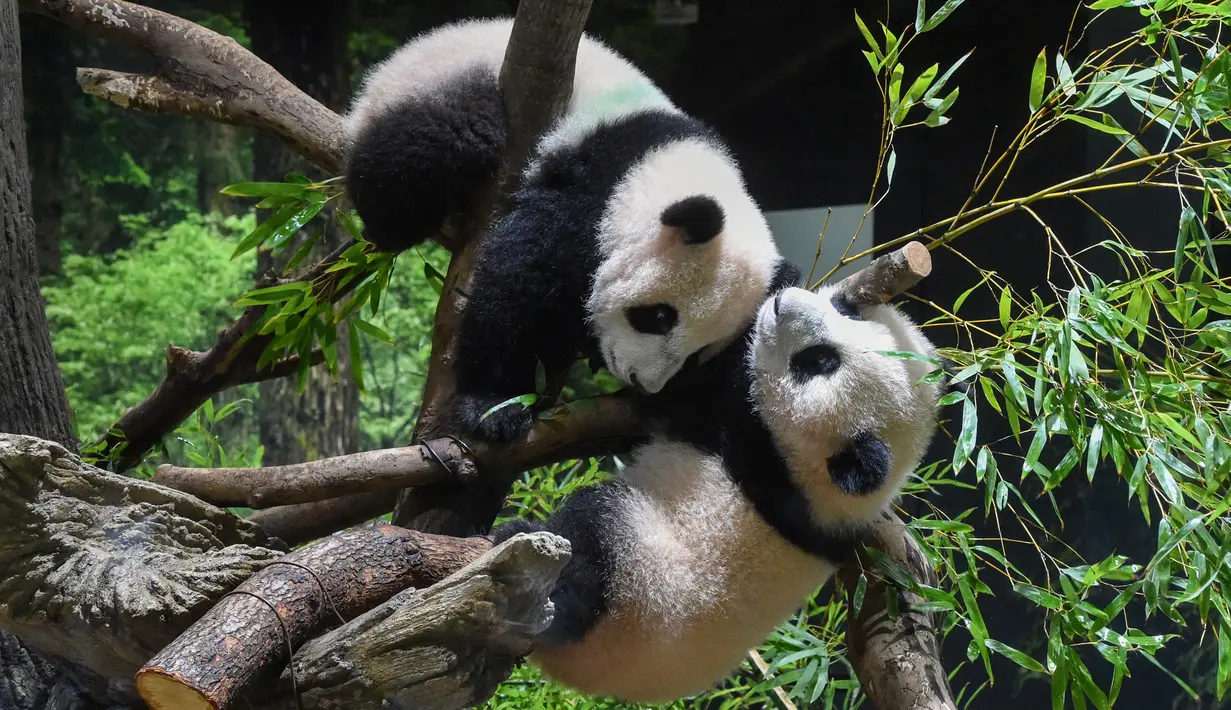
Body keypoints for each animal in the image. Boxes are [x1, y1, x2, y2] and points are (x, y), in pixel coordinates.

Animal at [344, 18, 783, 442]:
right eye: (659, 317)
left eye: (697, 354)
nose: (642, 382)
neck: (663, 164)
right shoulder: (592, 184)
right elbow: (520, 279)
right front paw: (495, 406)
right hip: (440, 84)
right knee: (438, 142)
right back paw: (394, 225)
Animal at [491, 274, 944, 703]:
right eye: (845, 312)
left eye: (818, 361)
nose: (782, 302)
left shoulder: (753, 443)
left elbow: (689, 392)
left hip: (637, 582)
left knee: (590, 545)